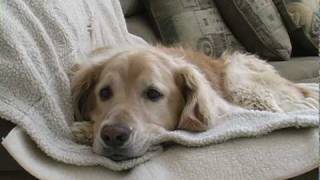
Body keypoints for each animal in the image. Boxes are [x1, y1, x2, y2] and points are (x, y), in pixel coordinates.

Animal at [70, 45, 316, 161]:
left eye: (153, 94)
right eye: (104, 93)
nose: (112, 135)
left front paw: (84, 130)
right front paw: (86, 129)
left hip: (241, 81)